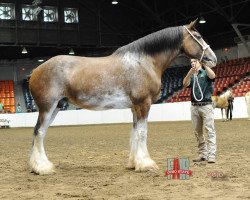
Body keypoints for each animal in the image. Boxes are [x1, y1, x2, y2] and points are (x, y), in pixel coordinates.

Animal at [28, 19, 217, 175]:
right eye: (198, 36)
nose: (213, 59)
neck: (144, 62)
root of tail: (35, 71)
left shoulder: (135, 107)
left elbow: (134, 132)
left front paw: (134, 163)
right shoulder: (143, 104)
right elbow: (142, 132)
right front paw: (146, 164)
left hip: (56, 107)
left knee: (41, 133)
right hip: (47, 108)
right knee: (39, 132)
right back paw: (42, 168)